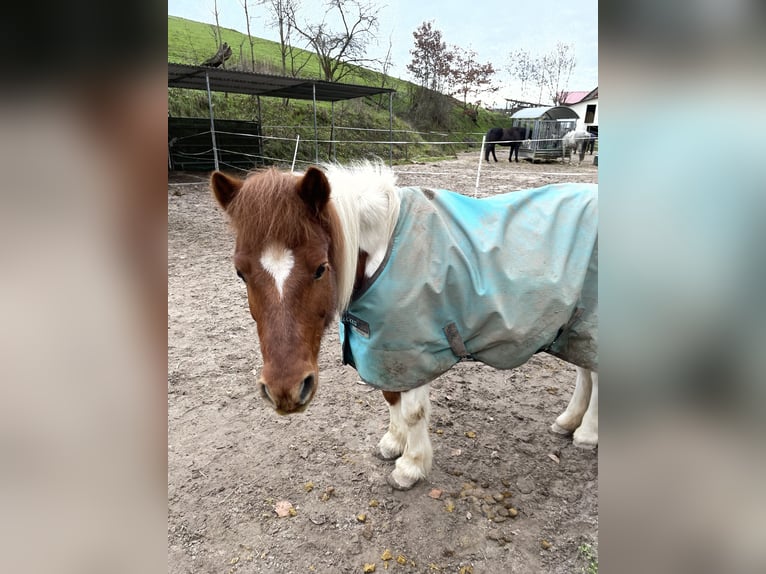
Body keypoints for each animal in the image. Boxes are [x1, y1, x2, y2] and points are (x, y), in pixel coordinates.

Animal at [210, 161, 598, 490]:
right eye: (240, 272)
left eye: (320, 267)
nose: (285, 391)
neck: (385, 253)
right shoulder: (385, 349)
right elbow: (390, 396)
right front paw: (393, 444)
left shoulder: (412, 350)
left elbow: (413, 411)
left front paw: (410, 466)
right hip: (576, 326)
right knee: (587, 371)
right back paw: (569, 422)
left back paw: (588, 433)